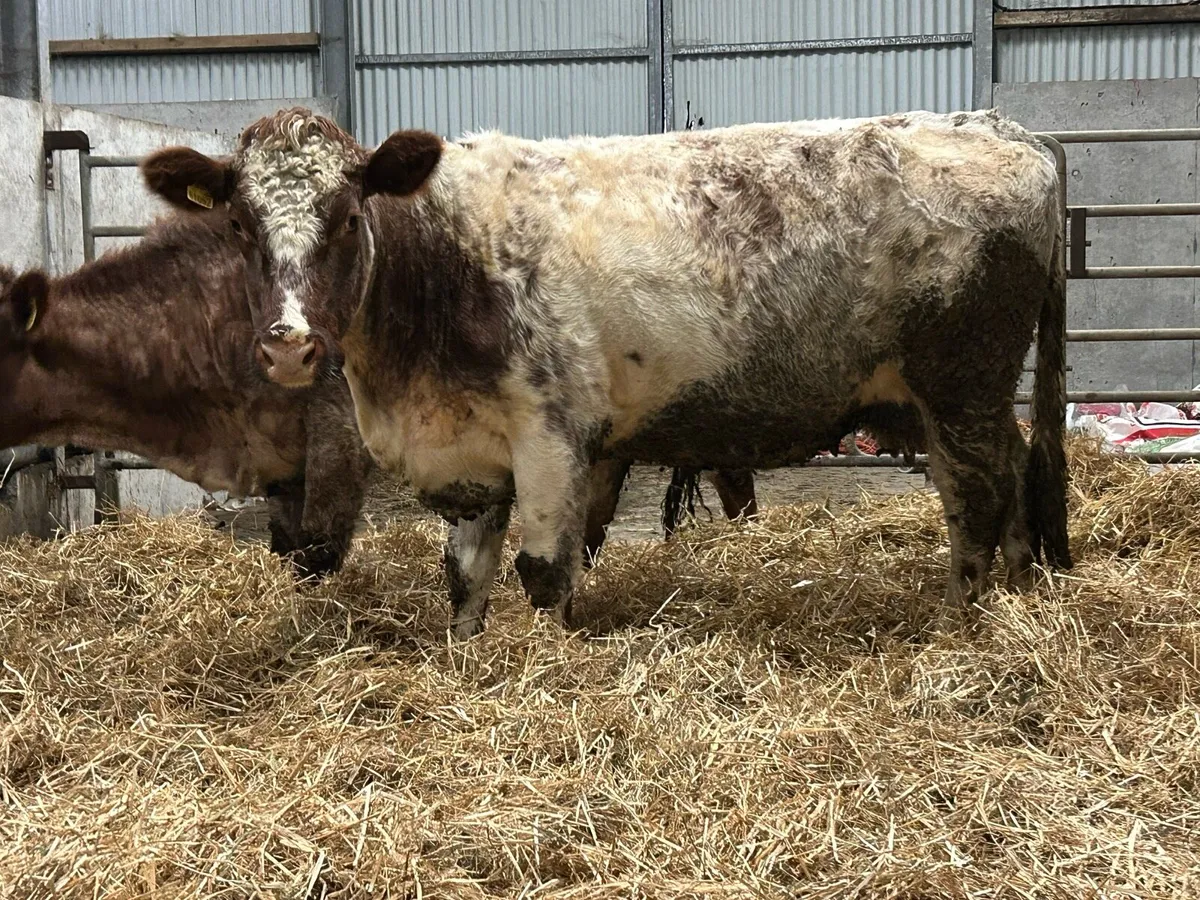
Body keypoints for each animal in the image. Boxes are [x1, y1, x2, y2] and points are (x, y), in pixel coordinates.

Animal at [141, 107, 1072, 640]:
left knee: (977, 493)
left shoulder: (553, 436)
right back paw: (1023, 592)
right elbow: (464, 574)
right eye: (240, 224)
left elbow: (545, 571)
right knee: (1020, 466)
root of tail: (998, 127)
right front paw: (465, 657)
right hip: (952, 399)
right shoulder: (472, 454)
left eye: (344, 214)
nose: (289, 344)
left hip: (960, 382)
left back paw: (958, 621)